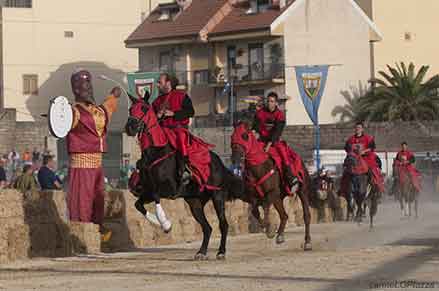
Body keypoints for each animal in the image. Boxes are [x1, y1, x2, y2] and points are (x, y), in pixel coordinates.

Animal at [124, 97, 244, 260]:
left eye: (143, 108)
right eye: (131, 109)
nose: (130, 127)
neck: (156, 153)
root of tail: (219, 163)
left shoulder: (169, 189)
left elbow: (156, 195)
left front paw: (166, 223)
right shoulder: (147, 192)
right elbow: (138, 204)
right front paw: (159, 222)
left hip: (217, 196)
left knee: (223, 224)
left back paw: (221, 252)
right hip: (195, 203)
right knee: (207, 227)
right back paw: (201, 252)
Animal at [230, 122, 312, 250]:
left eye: (244, 136)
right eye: (232, 137)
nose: (235, 158)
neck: (259, 168)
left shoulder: (272, 192)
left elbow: (265, 206)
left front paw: (269, 228)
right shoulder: (254, 197)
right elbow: (254, 210)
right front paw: (268, 228)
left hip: (302, 190)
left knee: (306, 216)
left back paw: (307, 242)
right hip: (278, 199)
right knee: (284, 215)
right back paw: (280, 236)